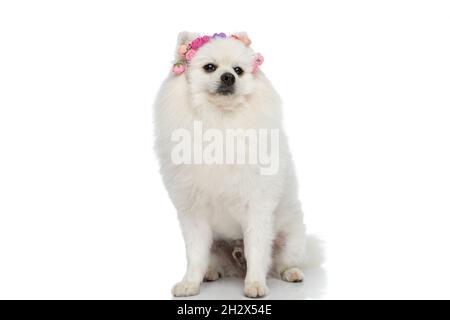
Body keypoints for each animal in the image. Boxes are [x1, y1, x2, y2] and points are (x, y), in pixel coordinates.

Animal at [154, 31, 306, 298]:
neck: (220, 121)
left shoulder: (256, 206)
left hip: (291, 239)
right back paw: (210, 273)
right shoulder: (193, 212)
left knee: (281, 262)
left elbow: (256, 250)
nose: (228, 76)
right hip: (216, 246)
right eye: (210, 67)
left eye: (238, 70)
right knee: (213, 261)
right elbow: (195, 255)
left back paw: (291, 272)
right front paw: (189, 283)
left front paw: (255, 284)